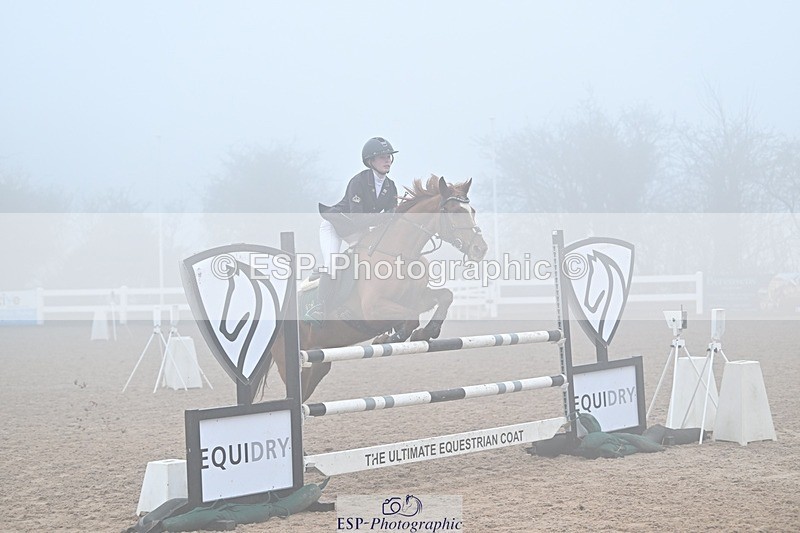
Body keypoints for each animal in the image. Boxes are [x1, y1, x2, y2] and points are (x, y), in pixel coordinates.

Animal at [267, 175, 488, 401]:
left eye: (472, 211)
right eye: (455, 211)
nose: (480, 249)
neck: (400, 254)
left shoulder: (416, 299)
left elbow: (445, 296)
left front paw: (426, 332)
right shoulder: (373, 309)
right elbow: (411, 317)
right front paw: (389, 337)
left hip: (320, 361)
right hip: (291, 361)